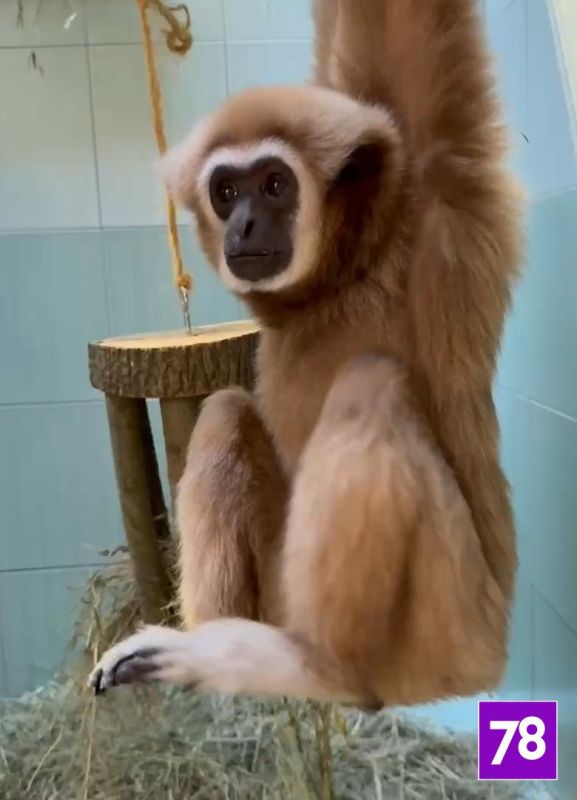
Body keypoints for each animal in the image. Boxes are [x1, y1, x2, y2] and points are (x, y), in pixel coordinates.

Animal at [90, 0, 523, 709]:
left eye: (274, 184)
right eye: (227, 192)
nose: (244, 225)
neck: (342, 281)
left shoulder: (433, 194)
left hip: (452, 636)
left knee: (371, 384)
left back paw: (316, 670)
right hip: (287, 596)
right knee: (227, 409)